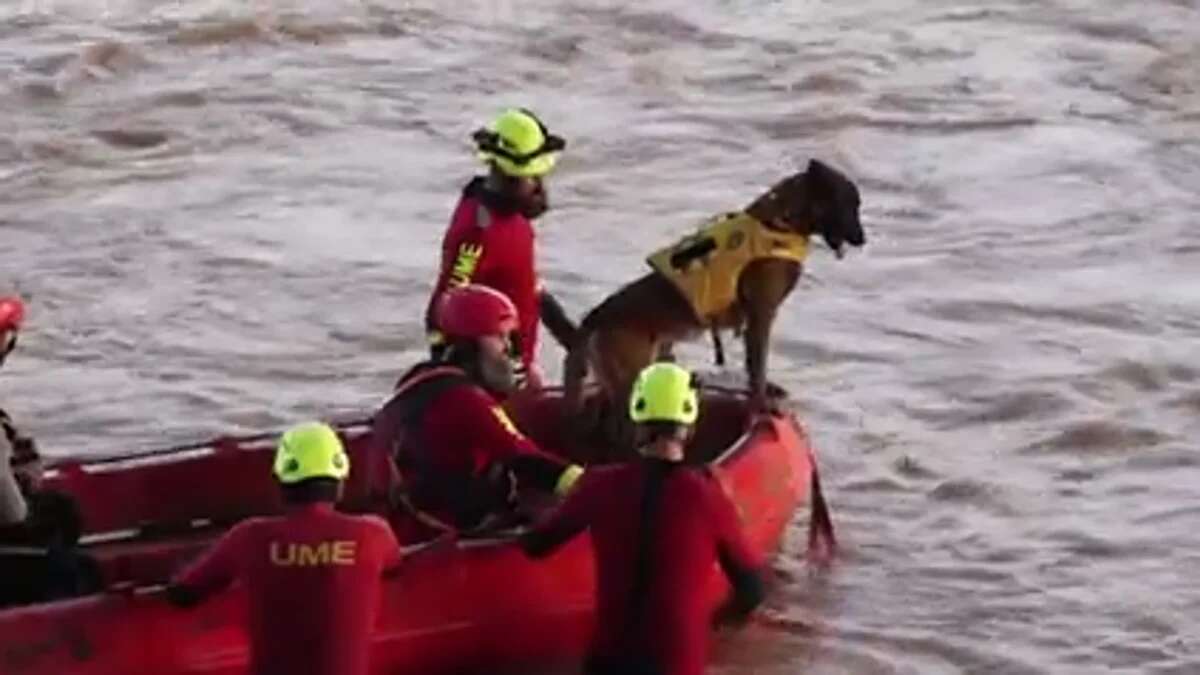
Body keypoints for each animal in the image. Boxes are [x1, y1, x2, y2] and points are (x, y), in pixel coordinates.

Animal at [561, 157, 864, 441]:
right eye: (849, 204)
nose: (863, 239)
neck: (782, 221)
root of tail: (596, 316)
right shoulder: (761, 316)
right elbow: (757, 368)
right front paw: (762, 404)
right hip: (632, 377)